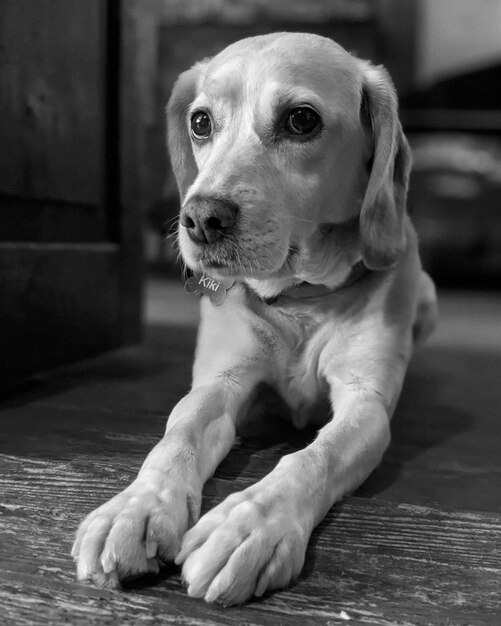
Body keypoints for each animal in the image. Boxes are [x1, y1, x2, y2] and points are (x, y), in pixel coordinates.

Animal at [71, 33, 438, 604]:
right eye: (201, 122)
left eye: (301, 120)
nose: (200, 218)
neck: (300, 299)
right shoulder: (219, 383)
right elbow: (177, 434)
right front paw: (135, 506)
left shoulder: (366, 404)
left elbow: (313, 456)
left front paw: (249, 524)